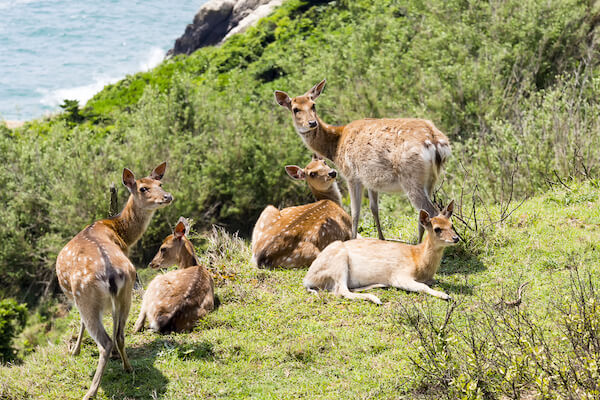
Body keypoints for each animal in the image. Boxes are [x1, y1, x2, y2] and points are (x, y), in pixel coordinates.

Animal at [55, 162, 172, 400]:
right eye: (144, 188)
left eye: (160, 184)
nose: (167, 196)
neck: (120, 233)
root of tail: (110, 274)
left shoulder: (77, 300)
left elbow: (80, 323)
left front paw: (75, 351)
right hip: (126, 291)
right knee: (119, 334)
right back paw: (128, 367)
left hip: (86, 297)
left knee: (105, 341)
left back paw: (91, 391)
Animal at [274, 78, 450, 241]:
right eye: (295, 109)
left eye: (313, 105)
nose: (312, 122)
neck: (336, 146)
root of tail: (435, 141)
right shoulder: (371, 179)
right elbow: (374, 208)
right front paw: (381, 238)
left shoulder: (351, 175)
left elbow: (355, 212)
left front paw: (353, 239)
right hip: (430, 179)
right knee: (425, 212)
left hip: (410, 176)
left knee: (432, 211)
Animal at [302, 200, 458, 304]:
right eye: (437, 229)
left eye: (452, 225)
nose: (456, 238)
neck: (419, 260)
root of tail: (307, 279)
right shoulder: (400, 275)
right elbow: (423, 287)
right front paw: (446, 295)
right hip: (338, 263)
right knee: (341, 291)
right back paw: (376, 299)